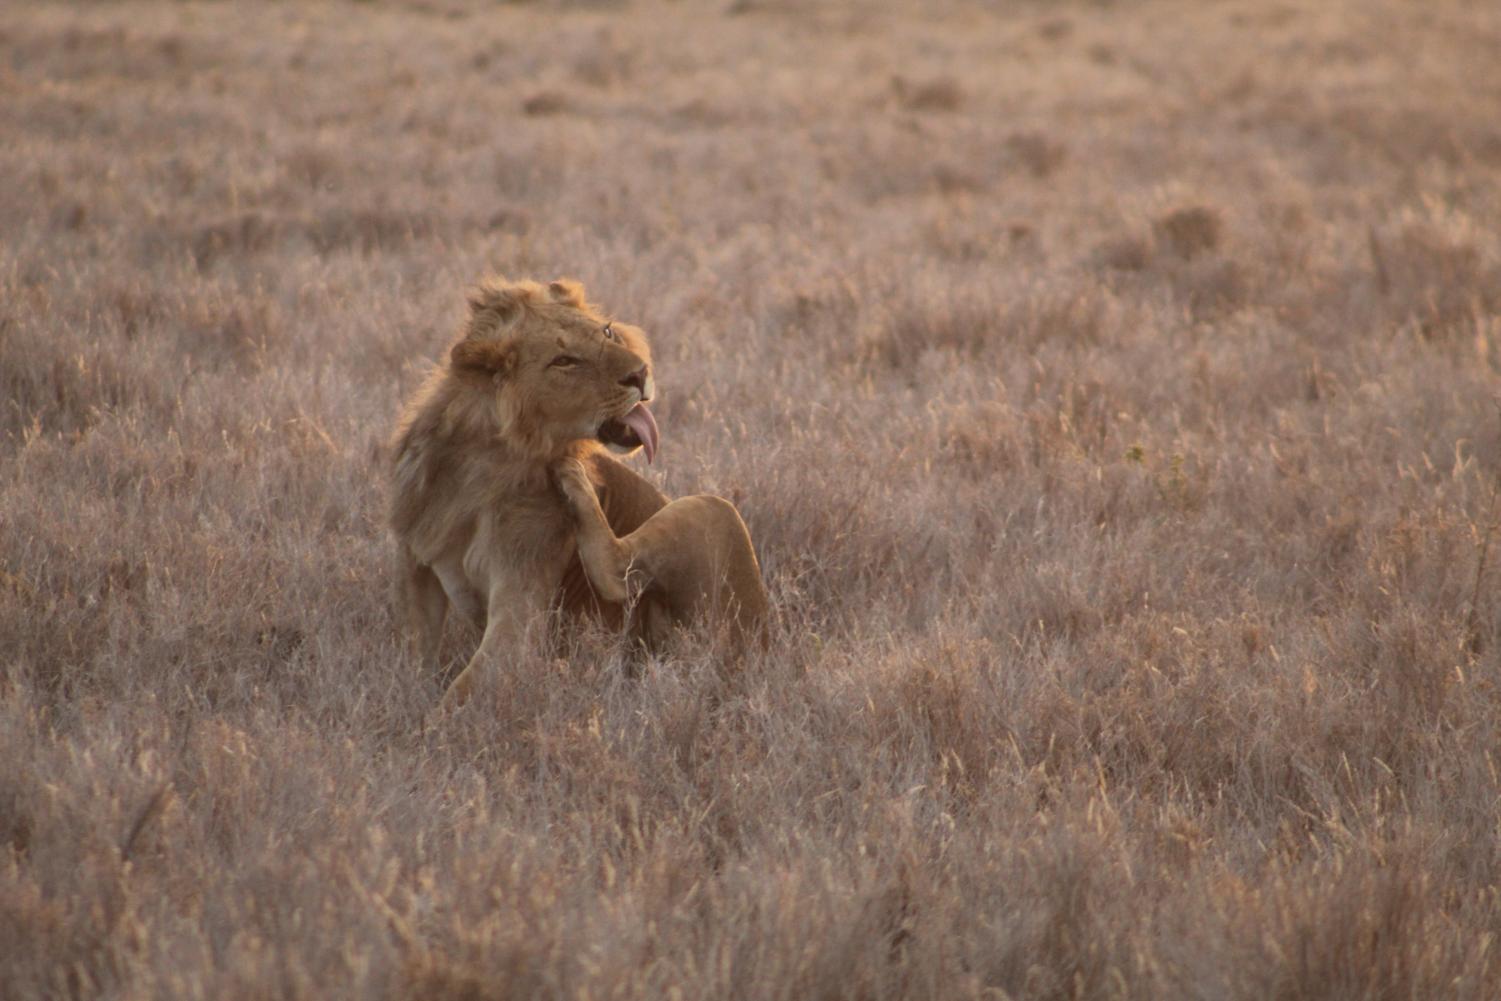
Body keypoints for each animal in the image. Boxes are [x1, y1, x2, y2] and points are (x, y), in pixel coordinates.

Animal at [393, 277, 768, 708]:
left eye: (606, 332)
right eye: (565, 361)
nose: (641, 372)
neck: (477, 465)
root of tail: (755, 655)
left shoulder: (521, 599)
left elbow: (462, 689)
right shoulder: (417, 568)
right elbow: (416, 657)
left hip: (711, 510)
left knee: (616, 570)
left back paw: (573, 477)